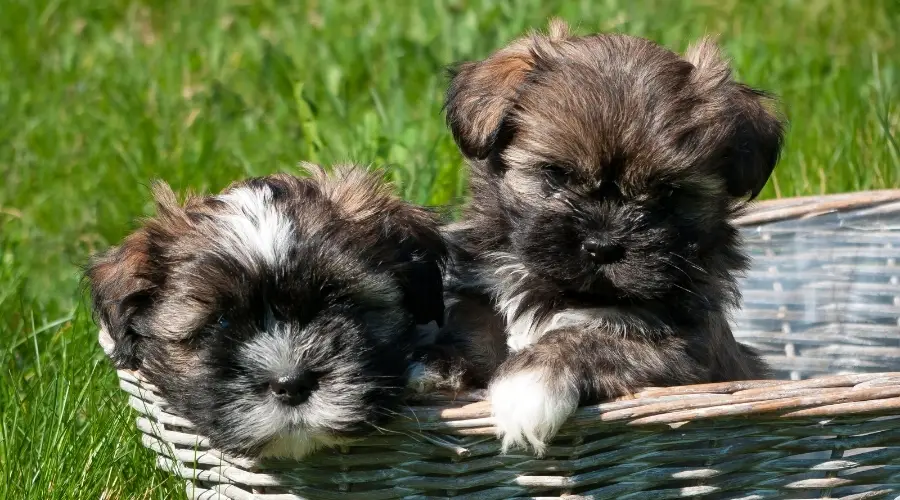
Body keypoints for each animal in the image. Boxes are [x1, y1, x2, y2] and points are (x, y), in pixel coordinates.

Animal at [436, 19, 780, 456]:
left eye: (668, 192)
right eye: (557, 174)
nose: (602, 246)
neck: (564, 291)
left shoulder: (685, 352)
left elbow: (590, 339)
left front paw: (527, 384)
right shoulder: (481, 292)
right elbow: (472, 323)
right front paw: (441, 362)